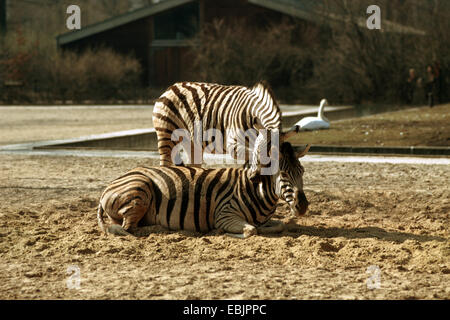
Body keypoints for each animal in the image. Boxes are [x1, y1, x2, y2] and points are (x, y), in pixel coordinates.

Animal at [97, 142, 310, 238]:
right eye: (284, 174)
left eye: (302, 171)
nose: (303, 206)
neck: (255, 190)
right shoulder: (225, 214)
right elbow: (251, 230)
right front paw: (224, 232)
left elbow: (279, 225)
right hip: (141, 189)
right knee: (125, 228)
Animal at [152, 80, 298, 178]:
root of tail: (173, 86)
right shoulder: (233, 145)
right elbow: (253, 155)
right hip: (166, 133)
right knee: (165, 163)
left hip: (192, 142)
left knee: (194, 165)